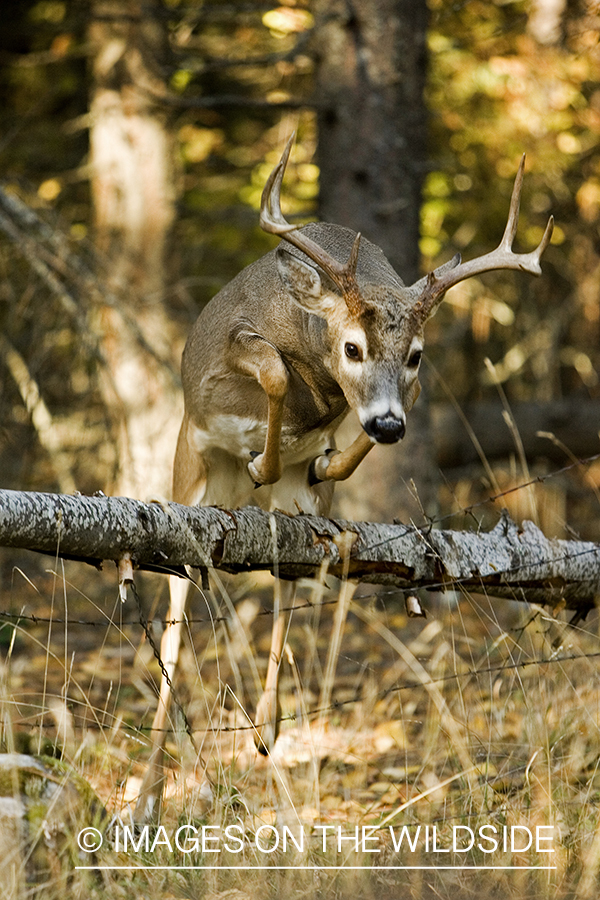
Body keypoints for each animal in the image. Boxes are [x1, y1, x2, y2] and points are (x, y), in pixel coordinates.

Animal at [135, 135, 552, 824]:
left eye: (414, 354)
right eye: (352, 347)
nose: (386, 423)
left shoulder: (365, 420)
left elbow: (373, 423)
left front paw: (327, 454)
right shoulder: (228, 362)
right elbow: (273, 370)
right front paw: (263, 454)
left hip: (295, 510)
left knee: (284, 573)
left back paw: (267, 727)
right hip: (188, 475)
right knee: (177, 603)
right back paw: (145, 794)